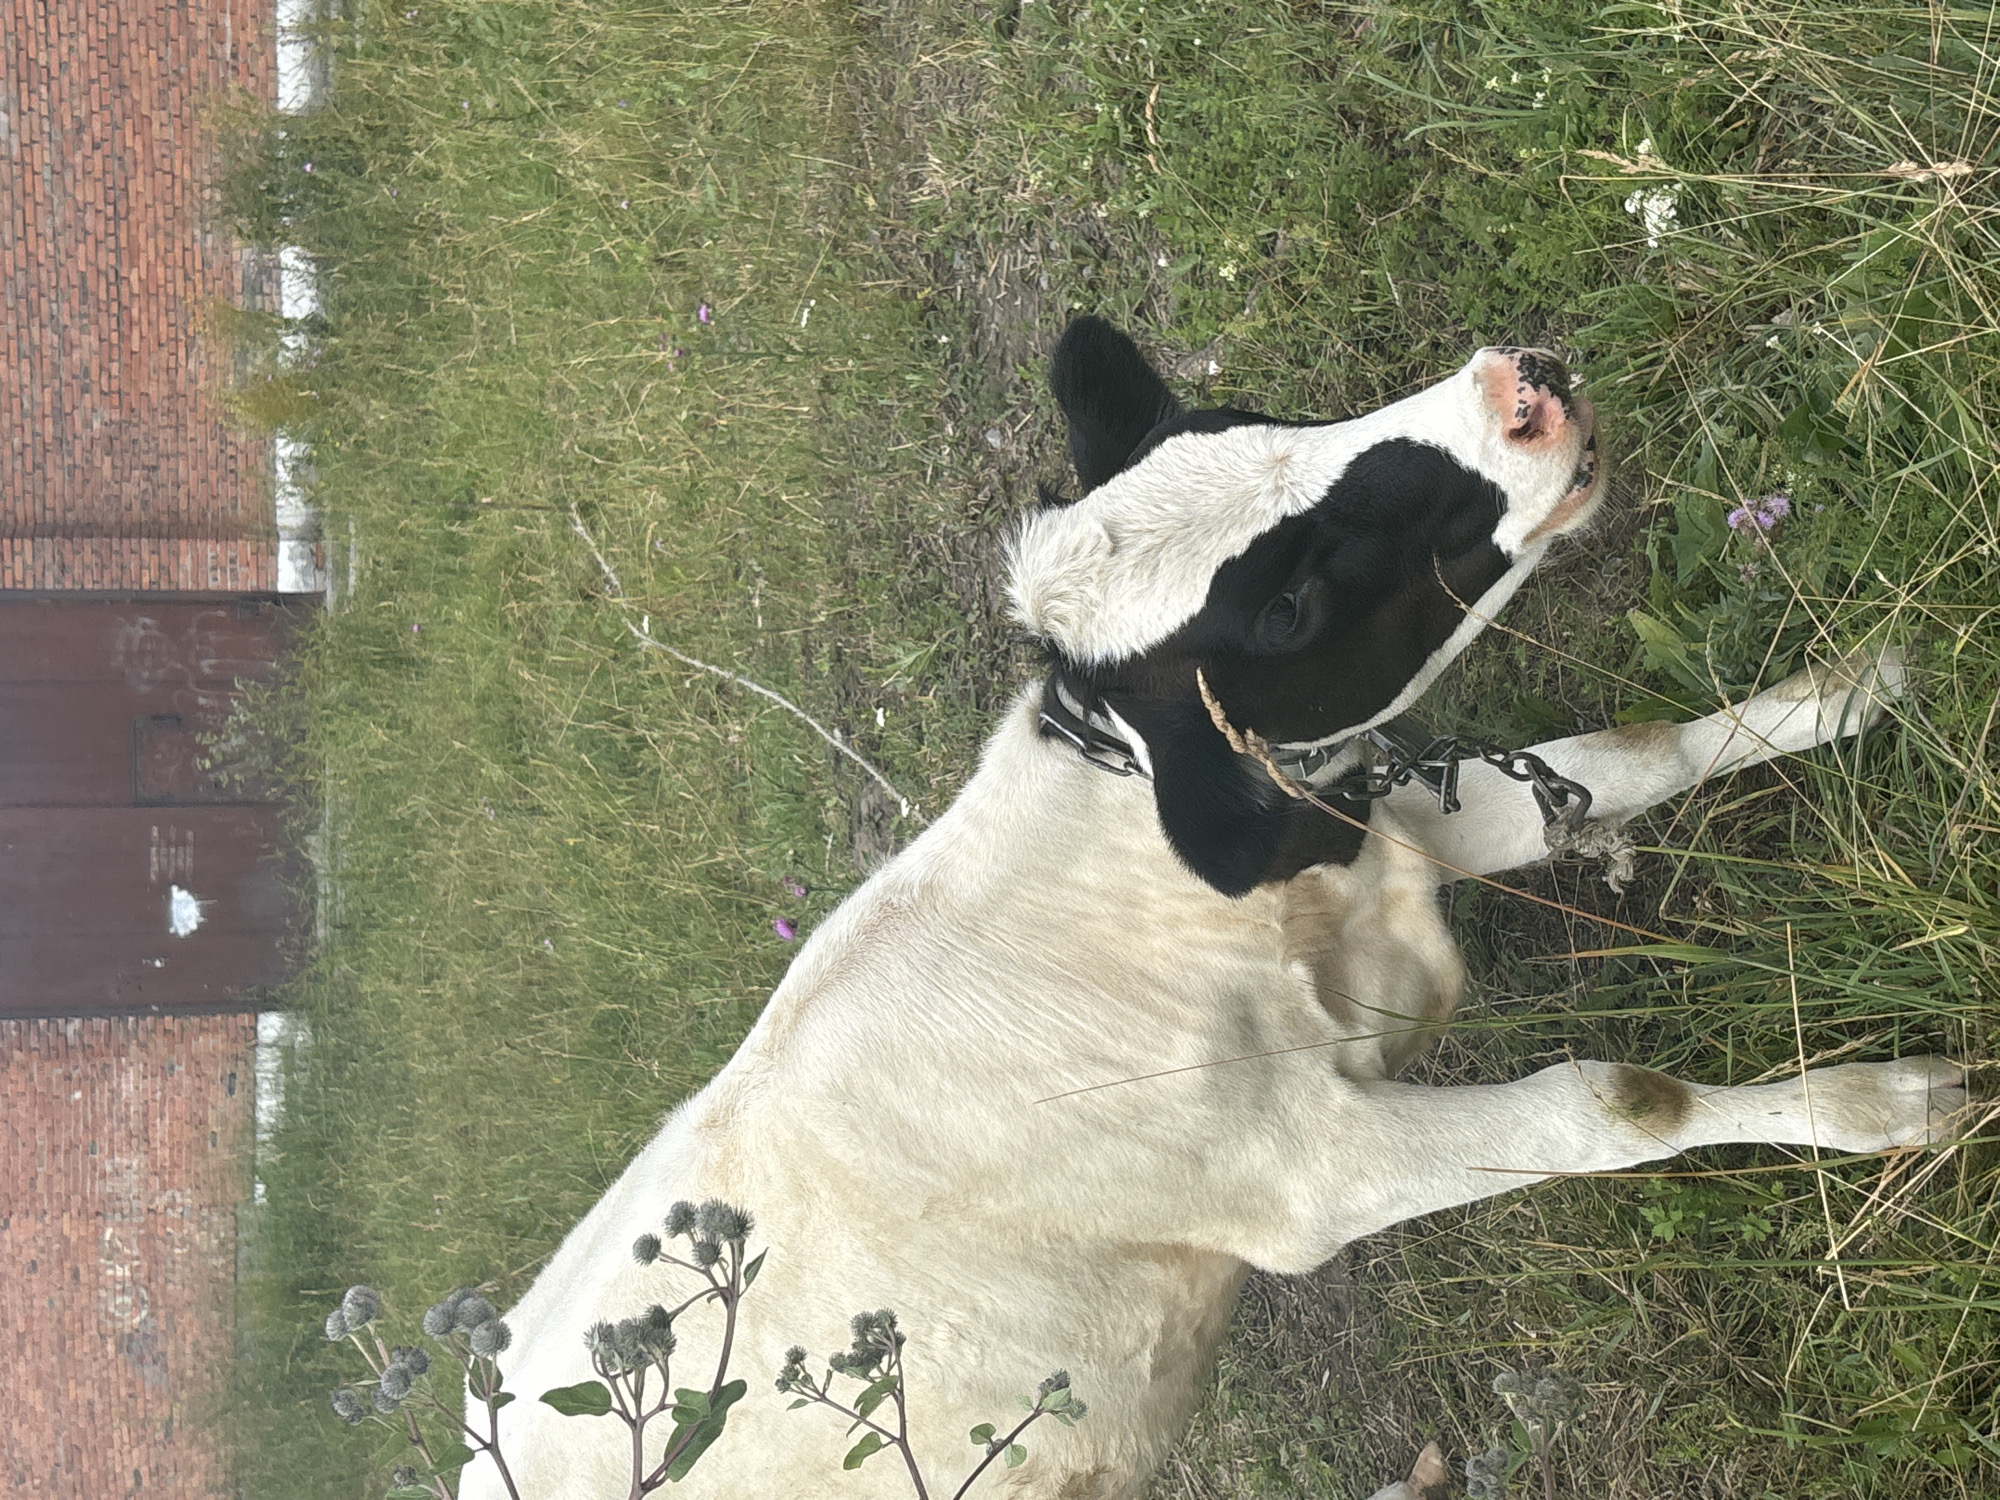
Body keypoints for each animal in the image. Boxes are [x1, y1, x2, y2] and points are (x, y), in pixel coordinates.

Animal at [461, 317, 1961, 1499]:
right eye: (1287, 606)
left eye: (1251, 422)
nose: (1518, 390)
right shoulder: (1308, 1177)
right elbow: (1609, 1104)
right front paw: (1891, 1104)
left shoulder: (1382, 827)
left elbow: (1630, 754)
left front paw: (1862, 684)